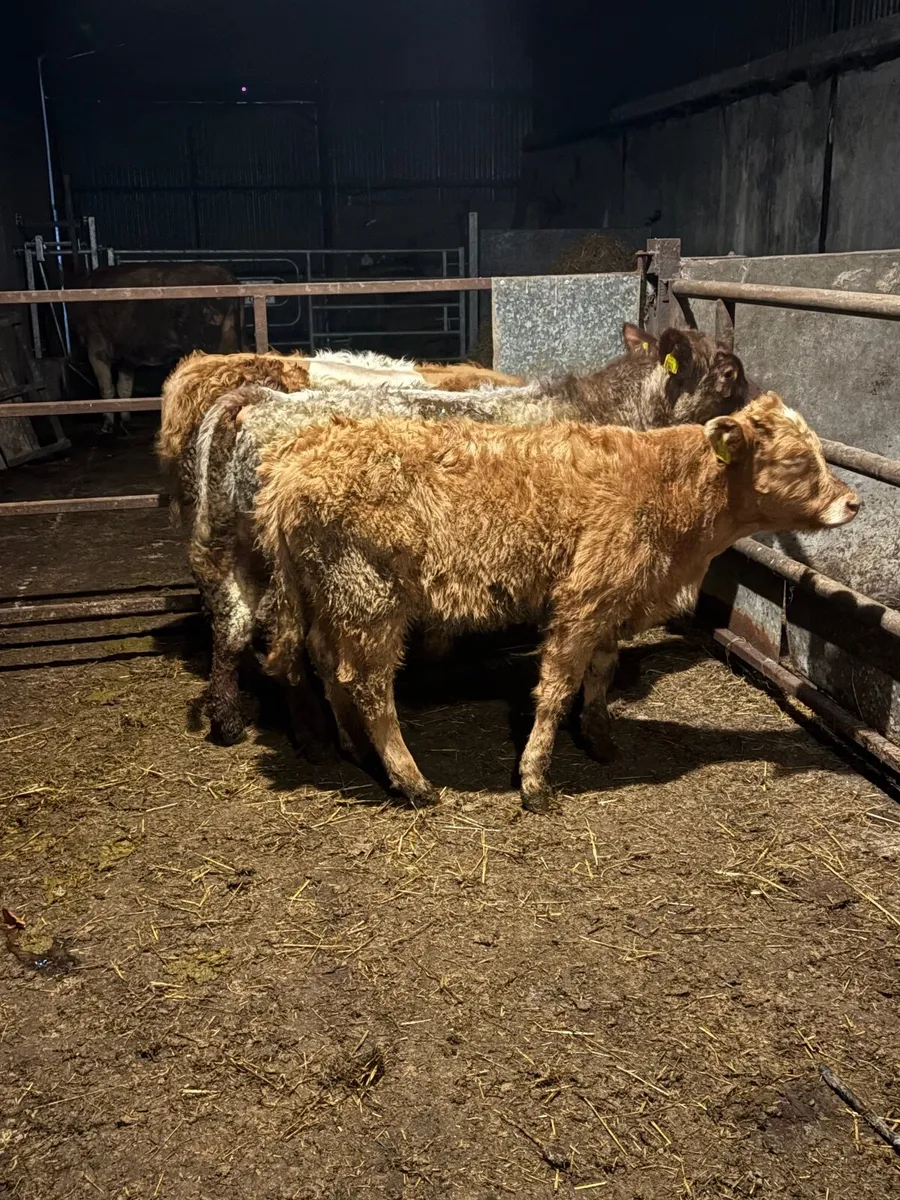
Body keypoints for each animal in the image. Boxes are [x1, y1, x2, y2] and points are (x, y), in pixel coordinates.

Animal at [68, 263, 242, 437]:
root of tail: (225, 276)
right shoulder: (127, 358)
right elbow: (124, 389)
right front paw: (125, 422)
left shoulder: (97, 350)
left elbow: (107, 389)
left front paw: (107, 425)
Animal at [187, 323, 756, 748]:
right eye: (729, 372)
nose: (751, 415)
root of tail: (262, 400)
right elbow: (600, 654)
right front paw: (595, 730)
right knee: (280, 635)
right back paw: (311, 732)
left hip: (246, 551)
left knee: (235, 625)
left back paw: (233, 720)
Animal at [256, 394, 860, 811]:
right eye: (795, 462)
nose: (854, 501)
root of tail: (294, 459)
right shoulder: (584, 598)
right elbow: (556, 688)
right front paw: (535, 779)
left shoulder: (614, 600)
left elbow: (600, 672)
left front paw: (599, 737)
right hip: (370, 598)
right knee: (368, 684)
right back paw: (412, 781)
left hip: (329, 594)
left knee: (326, 664)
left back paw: (354, 748)